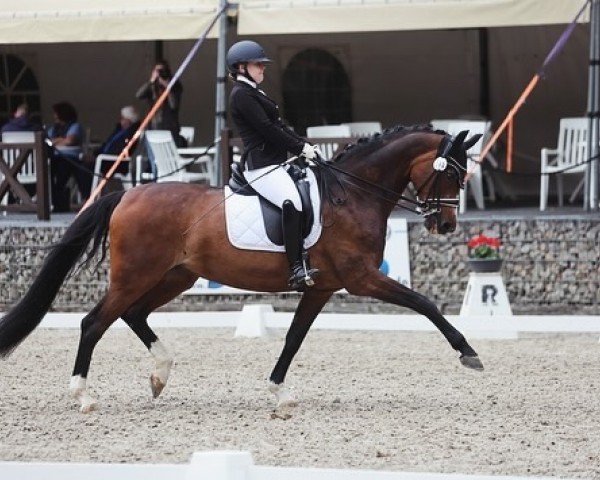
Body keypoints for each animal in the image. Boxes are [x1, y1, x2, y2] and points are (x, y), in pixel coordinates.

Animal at [0, 124, 480, 412]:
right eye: (451, 174)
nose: (445, 224)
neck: (352, 194)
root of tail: (126, 194)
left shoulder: (322, 287)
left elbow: (293, 338)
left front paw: (279, 392)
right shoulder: (362, 279)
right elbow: (425, 304)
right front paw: (468, 352)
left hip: (176, 276)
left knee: (133, 315)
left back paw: (160, 375)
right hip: (136, 275)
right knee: (94, 322)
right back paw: (83, 396)